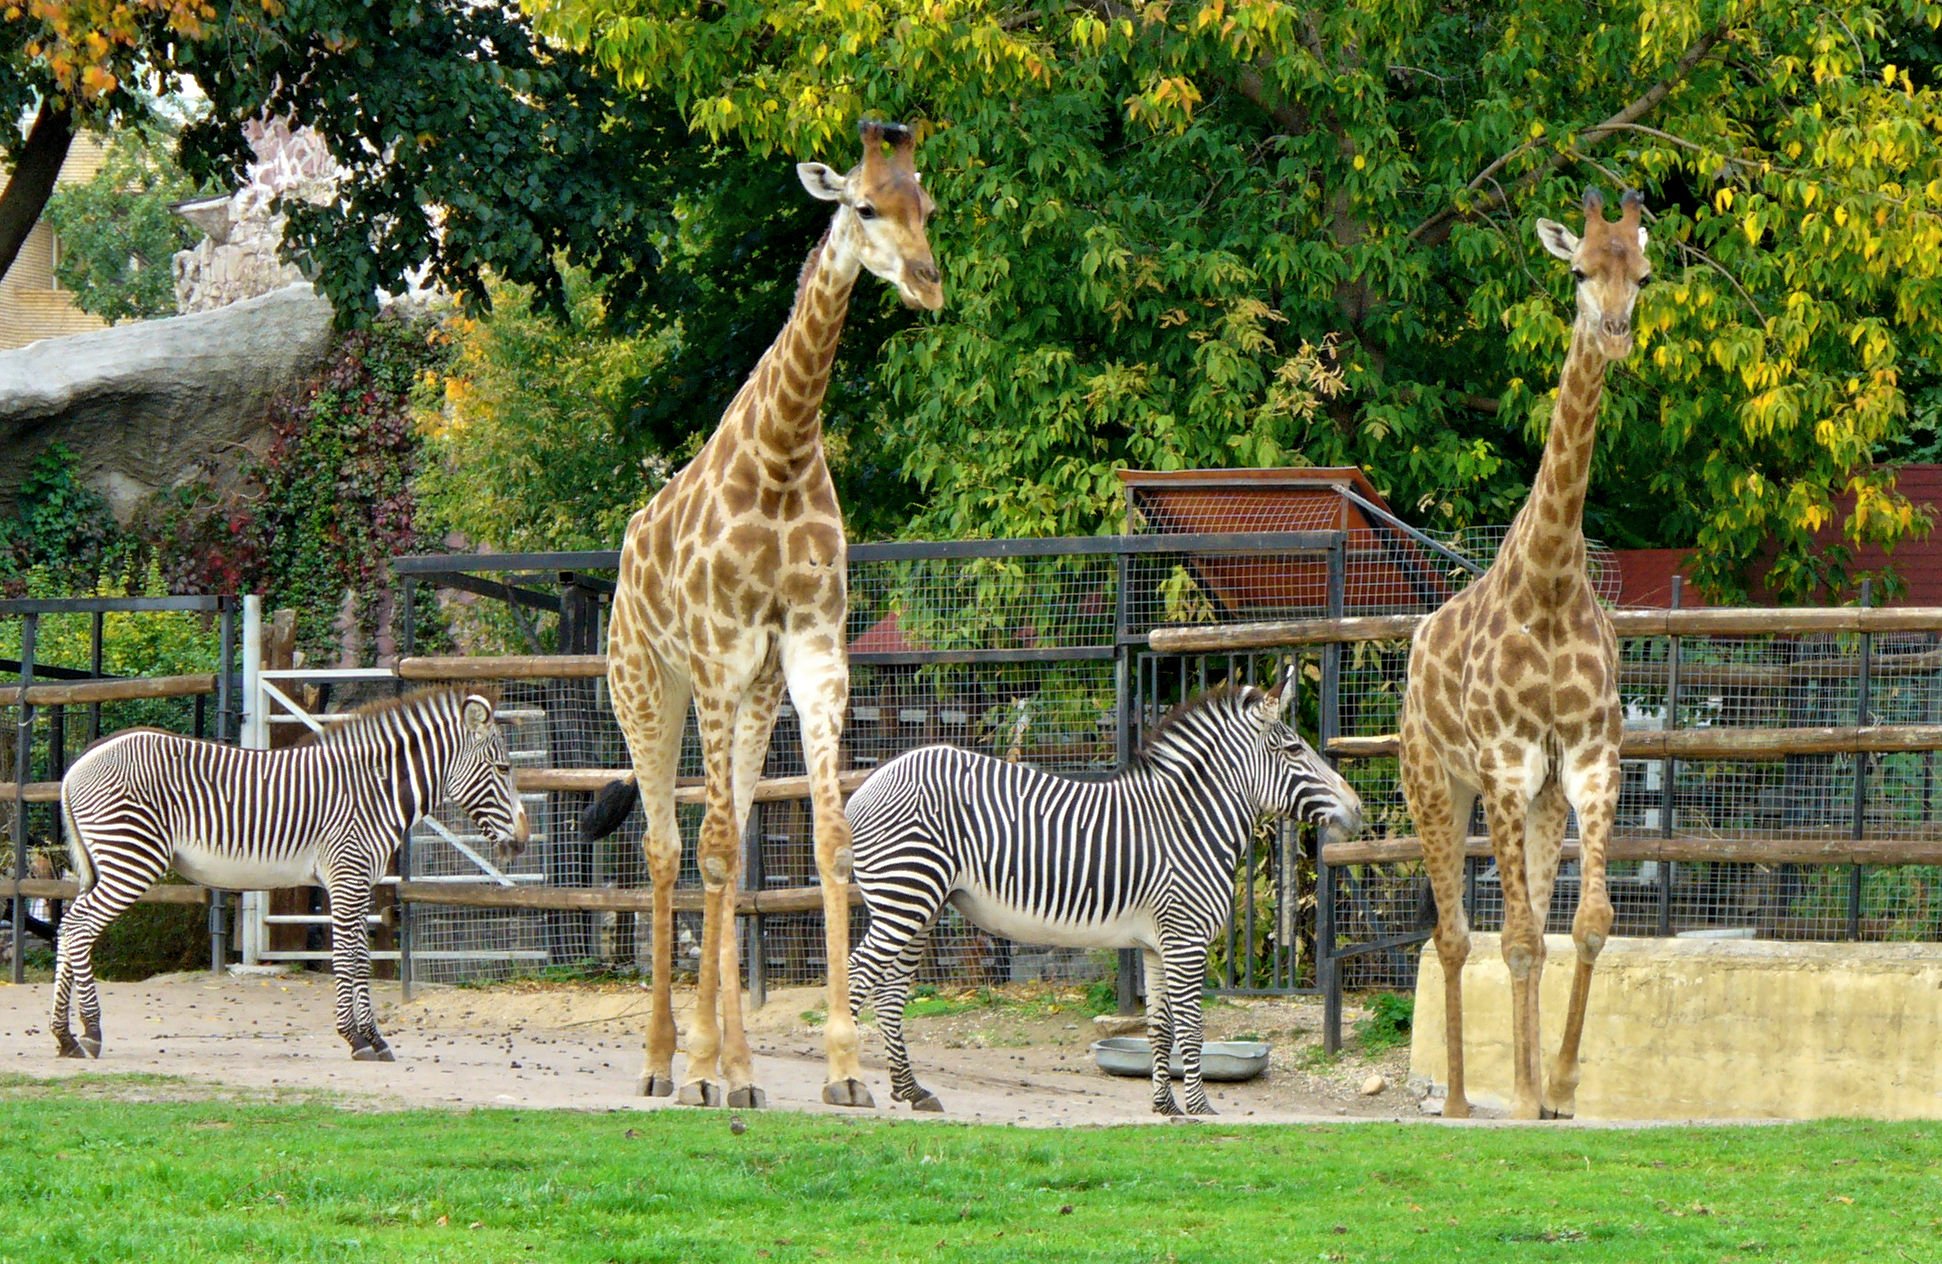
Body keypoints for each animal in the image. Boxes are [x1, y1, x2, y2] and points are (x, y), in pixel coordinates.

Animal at [52, 687, 528, 1064]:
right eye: (504, 769)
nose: (523, 840)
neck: (375, 791)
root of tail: (77, 765)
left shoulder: (357, 881)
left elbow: (360, 957)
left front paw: (371, 1038)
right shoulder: (348, 874)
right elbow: (349, 959)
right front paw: (359, 1039)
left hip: (105, 864)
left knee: (67, 925)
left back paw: (65, 1037)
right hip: (131, 857)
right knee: (79, 929)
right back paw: (91, 1032)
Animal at [586, 121, 943, 1110]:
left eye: (928, 207)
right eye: (864, 206)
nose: (929, 281)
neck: (783, 454)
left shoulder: (814, 654)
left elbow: (826, 844)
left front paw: (845, 1070)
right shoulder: (715, 652)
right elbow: (706, 850)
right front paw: (703, 1067)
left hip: (751, 696)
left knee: (732, 839)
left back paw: (737, 1072)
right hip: (646, 686)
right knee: (670, 848)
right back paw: (669, 1062)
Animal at [850, 671, 1367, 1118]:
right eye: (1294, 748)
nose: (1358, 809)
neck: (1190, 824)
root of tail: (870, 781)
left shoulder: (1159, 945)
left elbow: (1160, 1029)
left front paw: (1165, 1107)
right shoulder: (1186, 939)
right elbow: (1192, 1027)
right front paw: (1200, 1109)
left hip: (923, 904)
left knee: (890, 993)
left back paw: (911, 1090)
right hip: (905, 895)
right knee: (858, 974)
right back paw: (848, 1085)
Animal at [1398, 185, 1654, 1118]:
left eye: (1642, 275)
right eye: (1577, 271)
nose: (1613, 333)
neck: (1547, 580)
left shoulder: (1587, 760)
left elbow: (1584, 925)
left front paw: (1561, 1088)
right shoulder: (1505, 762)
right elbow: (1508, 937)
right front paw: (1517, 1091)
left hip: (1538, 797)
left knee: (1532, 926)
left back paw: (1527, 1087)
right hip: (1433, 781)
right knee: (1452, 934)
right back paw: (1463, 1101)